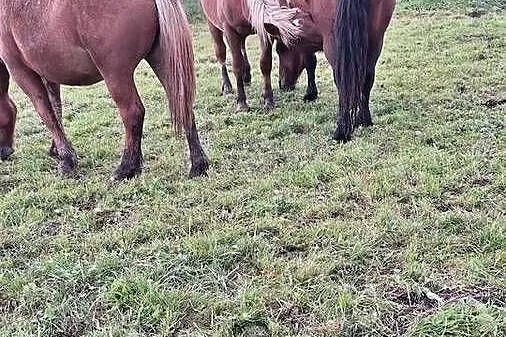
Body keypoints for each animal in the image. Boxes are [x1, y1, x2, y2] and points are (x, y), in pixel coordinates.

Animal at [0, 0, 209, 180]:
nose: (4, 151)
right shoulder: (48, 74)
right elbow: (56, 109)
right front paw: (57, 150)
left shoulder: (21, 71)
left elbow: (46, 114)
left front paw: (67, 160)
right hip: (164, 61)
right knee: (183, 104)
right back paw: (198, 165)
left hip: (115, 74)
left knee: (133, 113)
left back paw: (126, 168)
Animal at [272, 0, 396, 140]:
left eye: (280, 50)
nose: (282, 85)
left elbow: (310, 62)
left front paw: (310, 94)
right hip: (375, 39)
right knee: (367, 79)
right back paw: (364, 120)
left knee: (342, 83)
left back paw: (341, 131)